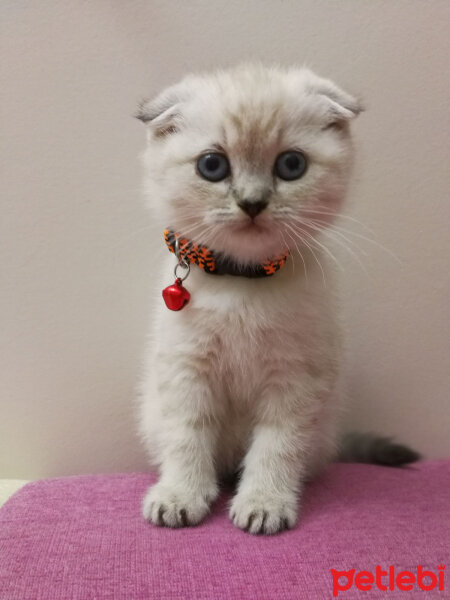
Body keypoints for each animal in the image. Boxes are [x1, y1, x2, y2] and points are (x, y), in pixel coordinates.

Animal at [134, 64, 418, 536]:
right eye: (212, 166)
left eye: (291, 165)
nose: (253, 203)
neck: (243, 285)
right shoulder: (186, 370)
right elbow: (187, 436)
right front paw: (181, 495)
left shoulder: (297, 380)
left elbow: (276, 446)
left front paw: (264, 503)